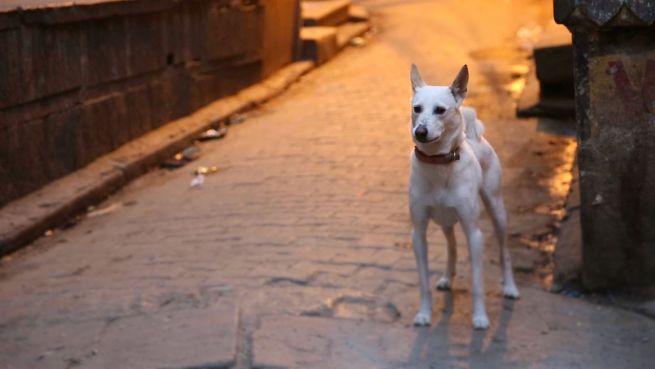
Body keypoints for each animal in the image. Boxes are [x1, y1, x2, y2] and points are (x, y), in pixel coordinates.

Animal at [408, 62, 520, 328]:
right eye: (416, 109)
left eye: (440, 110)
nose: (420, 131)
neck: (438, 163)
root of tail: (473, 137)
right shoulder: (418, 234)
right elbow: (423, 282)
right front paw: (424, 314)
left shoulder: (474, 233)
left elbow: (477, 282)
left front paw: (479, 317)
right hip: (445, 220)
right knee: (452, 246)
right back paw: (448, 278)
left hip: (497, 211)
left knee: (504, 252)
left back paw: (510, 287)